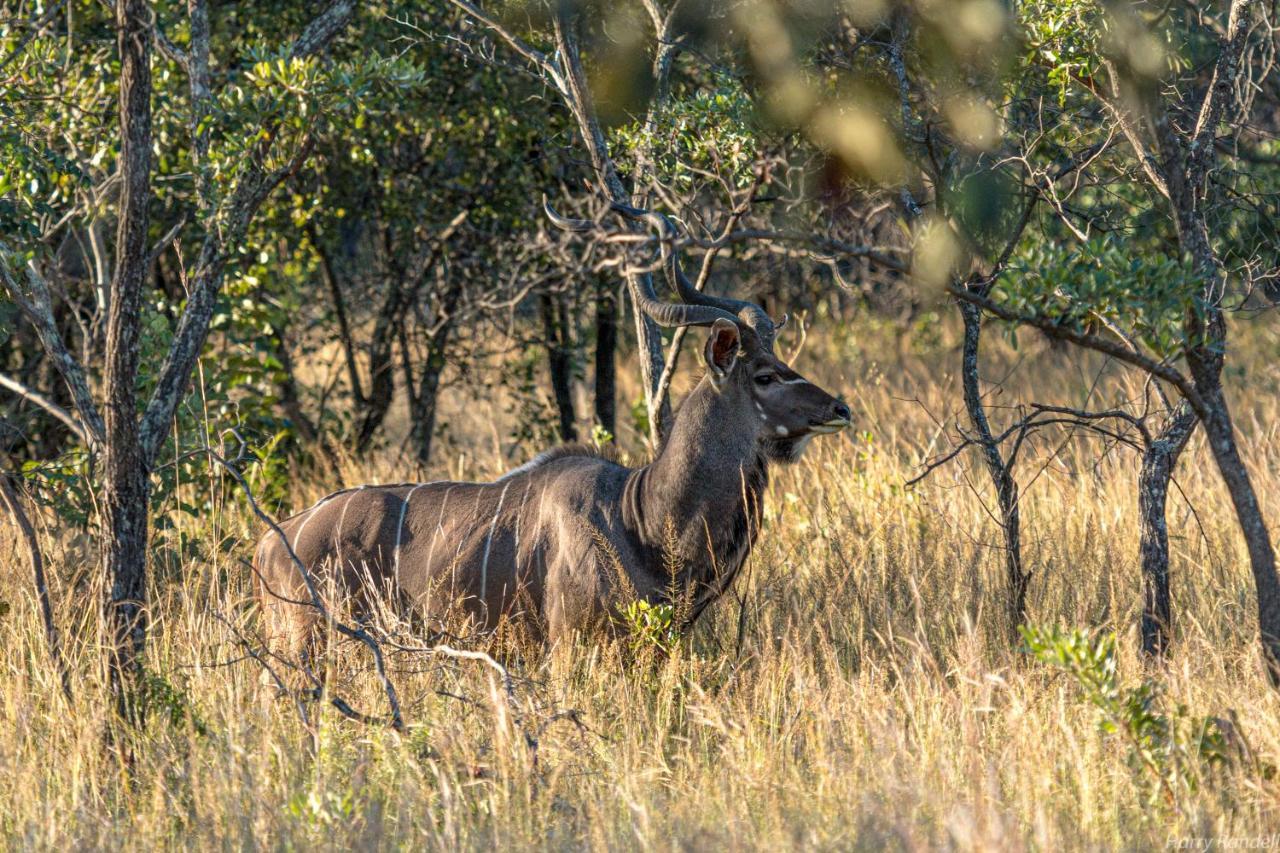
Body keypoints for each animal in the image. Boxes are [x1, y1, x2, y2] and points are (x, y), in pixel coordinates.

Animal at [250, 197, 855, 655]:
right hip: (313, 643)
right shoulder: (571, 644)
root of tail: (267, 544)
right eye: (766, 375)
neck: (641, 516)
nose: (840, 409)